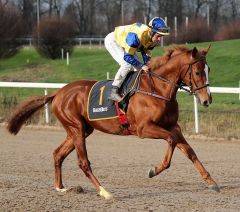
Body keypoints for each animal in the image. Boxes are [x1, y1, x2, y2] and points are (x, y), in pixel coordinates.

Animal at [6, 45, 219, 200]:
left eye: (209, 69)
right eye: (198, 72)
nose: (207, 100)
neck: (157, 89)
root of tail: (58, 93)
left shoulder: (173, 126)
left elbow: (189, 151)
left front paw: (211, 182)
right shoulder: (144, 129)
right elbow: (171, 141)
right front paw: (153, 170)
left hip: (81, 130)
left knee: (58, 154)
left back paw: (60, 187)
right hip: (76, 127)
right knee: (83, 162)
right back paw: (104, 191)